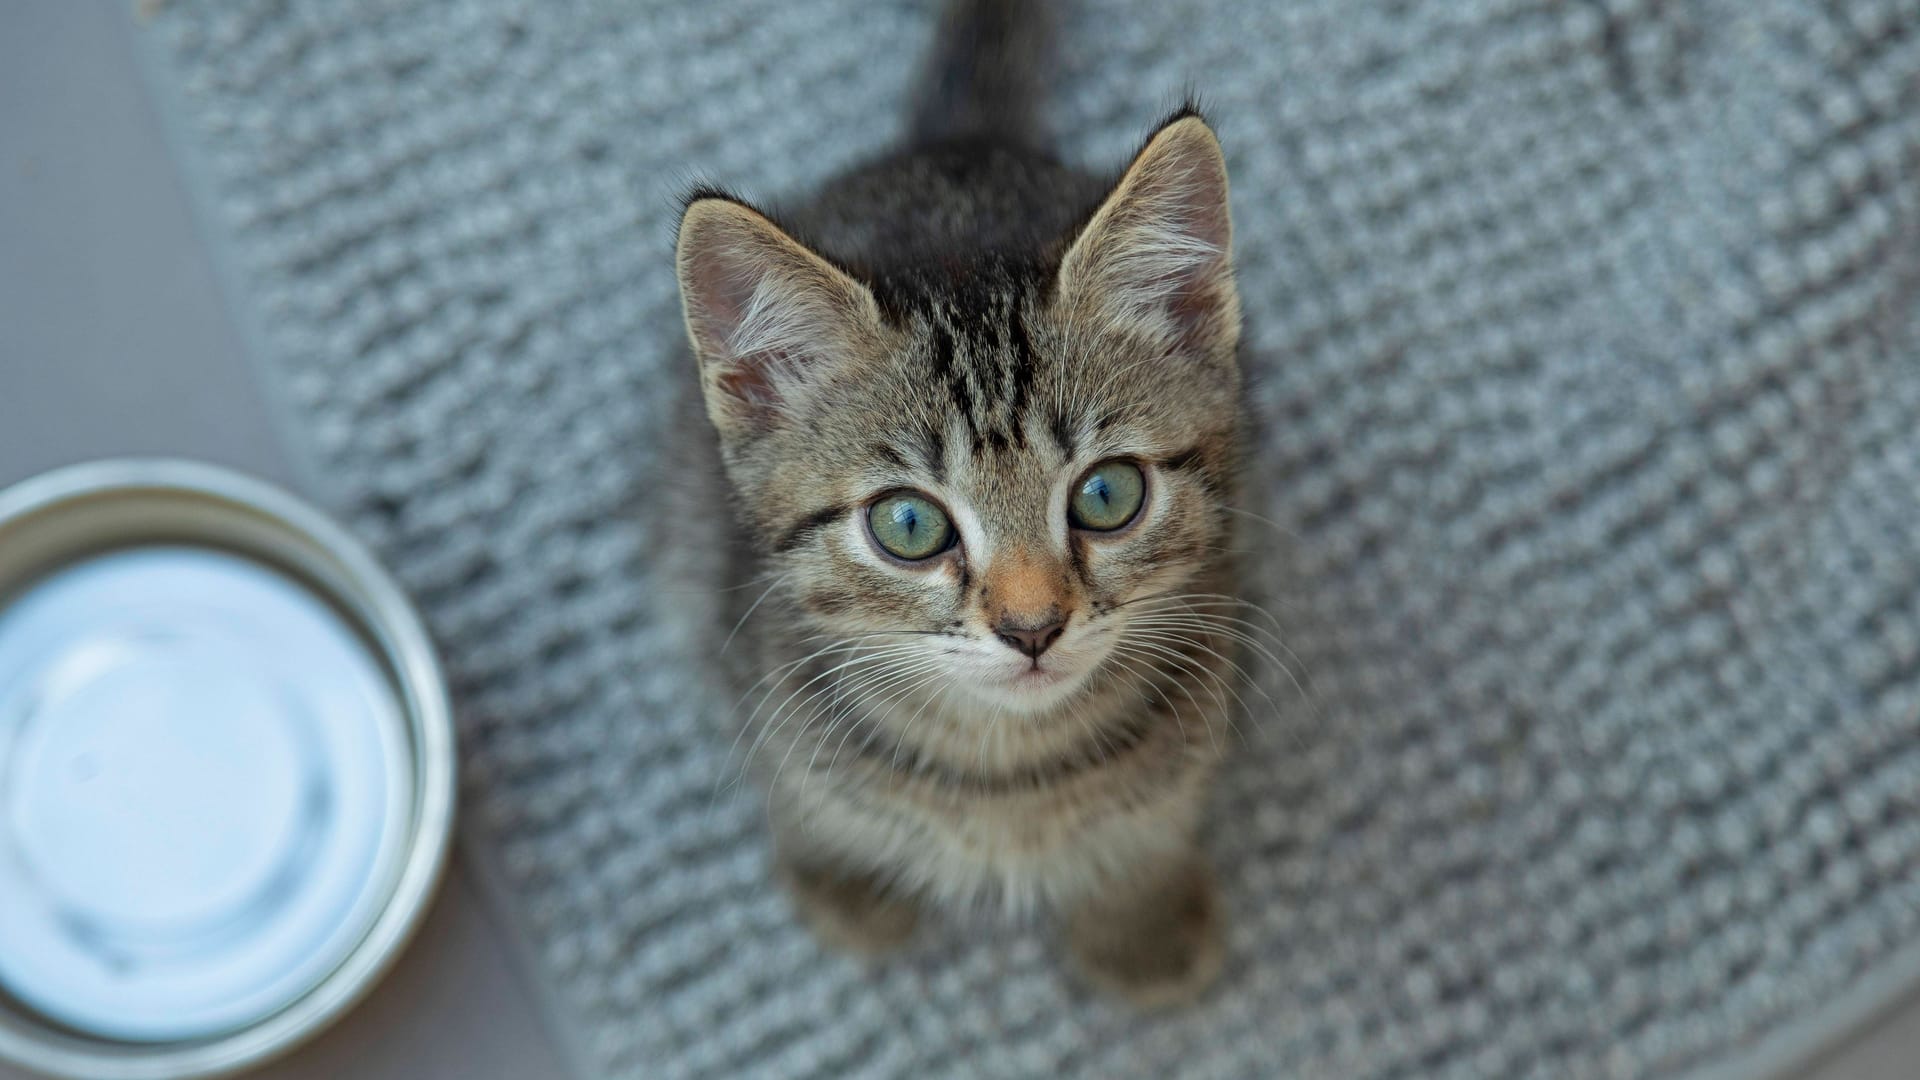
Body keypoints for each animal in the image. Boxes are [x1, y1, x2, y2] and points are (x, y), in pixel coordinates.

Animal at [675, 0, 1244, 1006]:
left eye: (1108, 494)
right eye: (909, 525)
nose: (1031, 627)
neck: (1007, 774)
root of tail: (961, 143)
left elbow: (1157, 811)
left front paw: (1138, 919)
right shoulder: (744, 653)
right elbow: (801, 789)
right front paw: (843, 881)